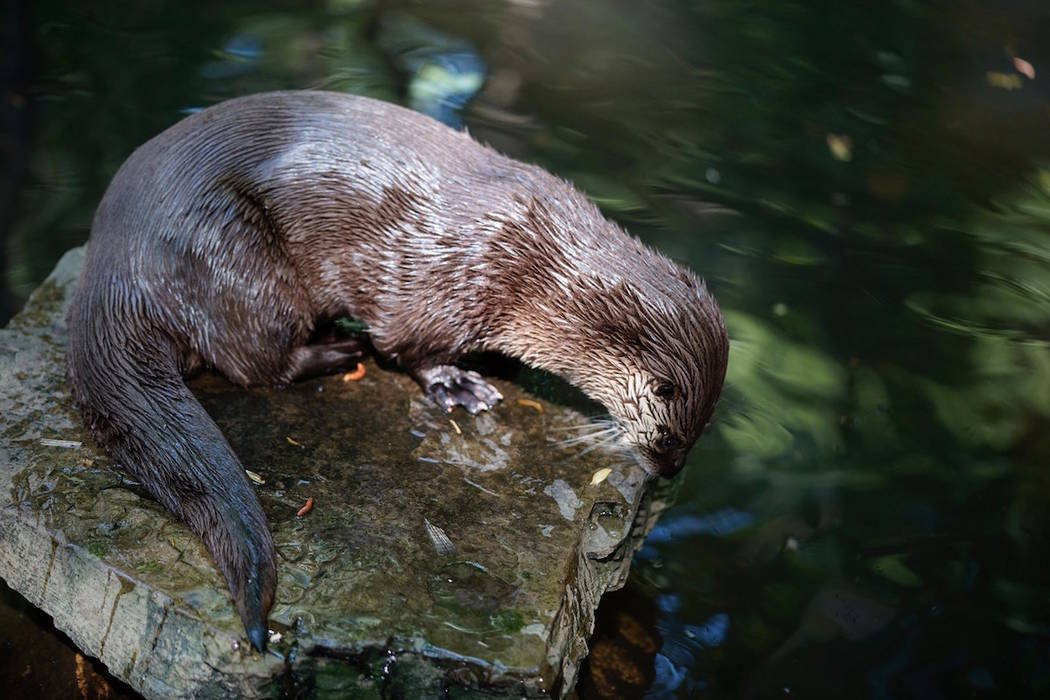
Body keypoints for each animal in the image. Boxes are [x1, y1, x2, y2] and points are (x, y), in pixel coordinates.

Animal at [67, 91, 730, 650]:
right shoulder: (443, 281)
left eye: (700, 430)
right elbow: (406, 345)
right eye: (667, 416)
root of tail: (115, 262)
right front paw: (458, 383)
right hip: (235, 256)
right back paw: (336, 349)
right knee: (256, 360)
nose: (670, 467)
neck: (536, 271)